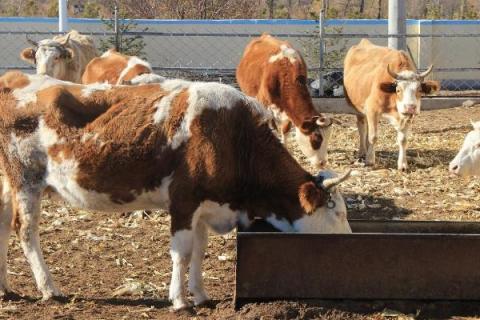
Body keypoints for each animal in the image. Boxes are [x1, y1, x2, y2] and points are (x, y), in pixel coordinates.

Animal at [0, 70, 350, 310]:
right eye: (338, 214)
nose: (349, 239)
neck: (233, 135)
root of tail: (14, 78)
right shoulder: (184, 201)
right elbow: (181, 252)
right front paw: (180, 300)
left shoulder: (205, 206)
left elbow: (199, 250)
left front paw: (201, 295)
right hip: (26, 180)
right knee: (25, 230)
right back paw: (49, 288)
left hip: (7, 184)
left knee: (3, 225)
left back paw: (5, 287)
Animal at [237, 33, 338, 169]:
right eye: (316, 140)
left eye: (328, 139)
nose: (322, 163)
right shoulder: (263, 103)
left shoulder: (289, 111)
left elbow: (285, 130)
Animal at [344, 38, 440, 171]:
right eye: (398, 90)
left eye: (419, 90)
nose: (410, 107)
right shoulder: (372, 109)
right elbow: (373, 136)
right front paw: (370, 161)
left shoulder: (407, 117)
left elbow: (403, 139)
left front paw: (402, 164)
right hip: (357, 107)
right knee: (362, 127)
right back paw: (363, 152)